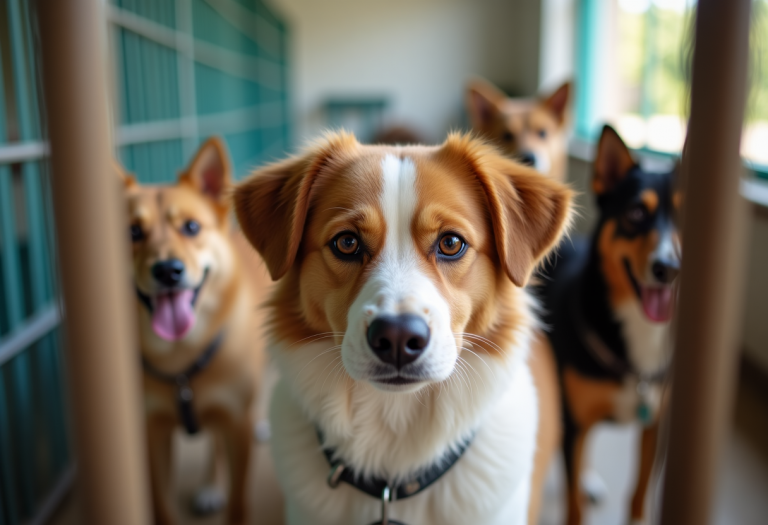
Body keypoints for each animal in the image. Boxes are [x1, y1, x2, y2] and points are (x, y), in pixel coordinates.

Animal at [118, 137, 268, 520]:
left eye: (191, 227)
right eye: (132, 232)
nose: (168, 270)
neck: (180, 357)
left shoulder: (236, 423)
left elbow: (239, 503)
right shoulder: (151, 433)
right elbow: (162, 505)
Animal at [544, 126, 680, 524]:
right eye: (636, 212)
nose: (668, 269)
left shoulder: (654, 427)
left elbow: (638, 495)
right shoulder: (574, 421)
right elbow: (573, 506)